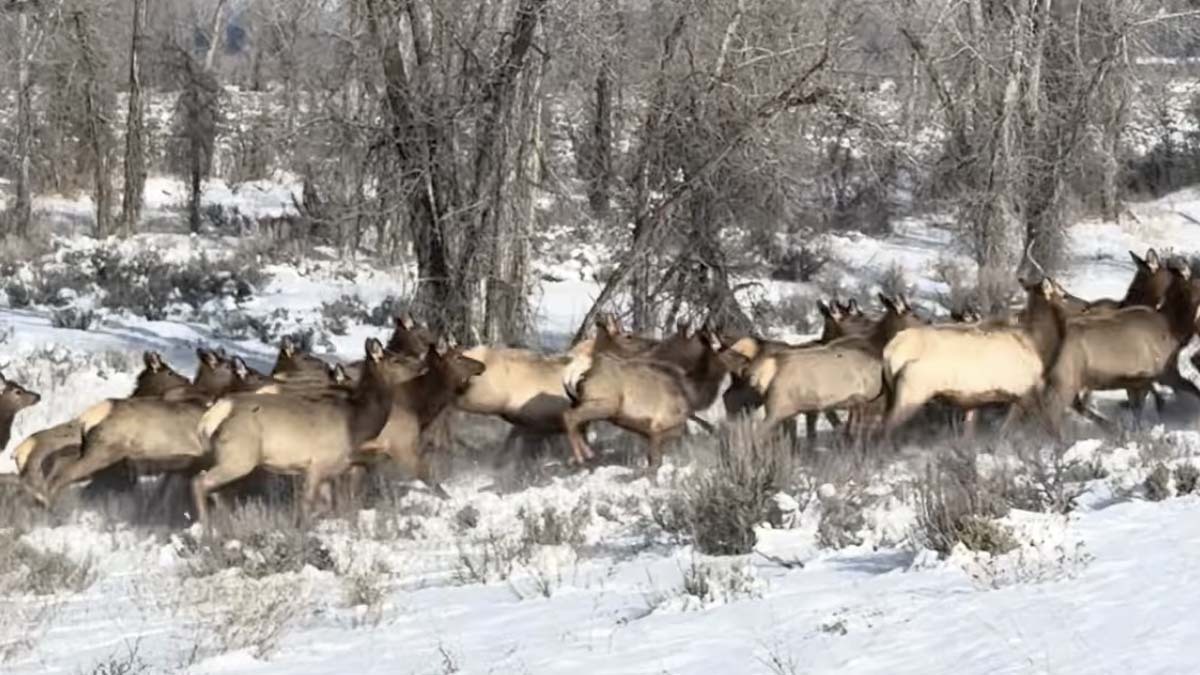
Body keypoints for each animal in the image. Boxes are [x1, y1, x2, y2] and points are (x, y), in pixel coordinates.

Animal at [191, 339, 442, 527]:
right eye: (397, 359)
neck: (356, 421)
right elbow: (308, 504)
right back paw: (207, 531)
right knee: (200, 481)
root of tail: (212, 416)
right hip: (240, 457)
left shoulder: (328, 470)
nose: (423, 364)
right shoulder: (319, 463)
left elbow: (327, 505)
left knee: (213, 487)